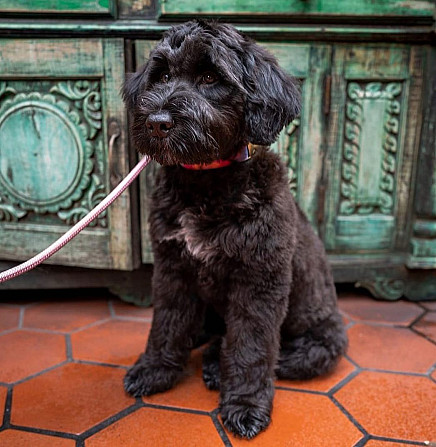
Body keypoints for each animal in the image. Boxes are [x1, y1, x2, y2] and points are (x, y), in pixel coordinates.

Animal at [122, 20, 348, 438]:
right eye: (162, 76)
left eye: (211, 77)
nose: (157, 123)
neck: (206, 184)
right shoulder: (172, 268)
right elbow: (166, 323)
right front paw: (155, 369)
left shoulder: (258, 283)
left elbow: (250, 348)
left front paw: (244, 405)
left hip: (315, 345)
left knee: (270, 354)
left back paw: (216, 366)